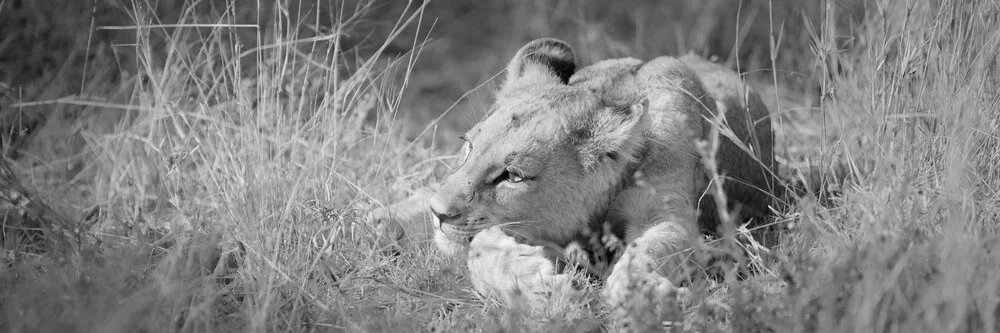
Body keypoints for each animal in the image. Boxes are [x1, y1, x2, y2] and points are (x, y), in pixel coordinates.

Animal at [372, 38, 776, 306]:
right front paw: (540, 286)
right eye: (469, 145)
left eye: (513, 176)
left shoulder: (666, 209)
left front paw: (637, 290)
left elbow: (659, 244)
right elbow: (479, 252)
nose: (439, 214)